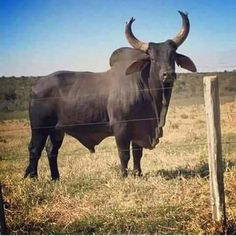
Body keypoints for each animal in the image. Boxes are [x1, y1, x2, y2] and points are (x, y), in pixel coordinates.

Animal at [24, 11, 196, 180]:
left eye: (172, 56)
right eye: (152, 58)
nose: (168, 75)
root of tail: (37, 85)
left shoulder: (139, 129)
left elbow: (137, 154)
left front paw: (138, 173)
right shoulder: (121, 128)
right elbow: (124, 154)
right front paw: (124, 176)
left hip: (57, 130)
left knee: (51, 150)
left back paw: (55, 178)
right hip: (39, 128)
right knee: (34, 149)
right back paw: (33, 177)